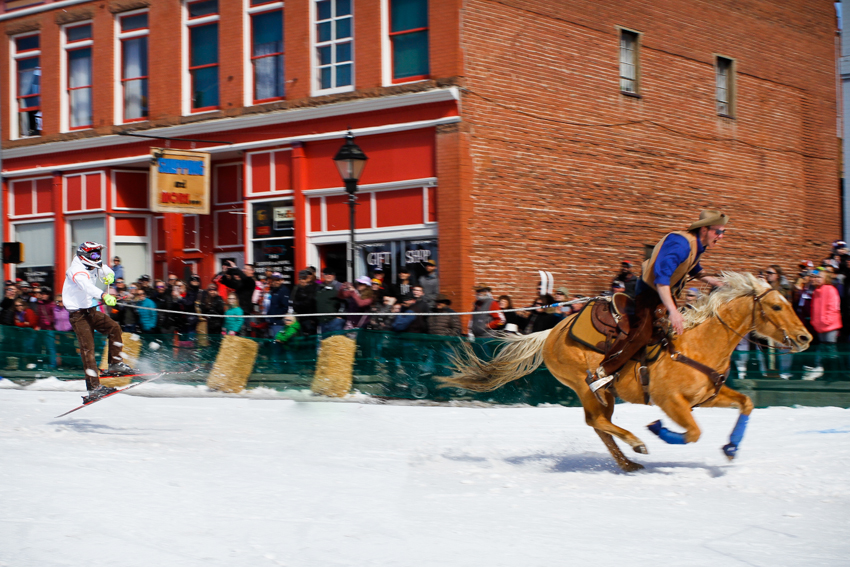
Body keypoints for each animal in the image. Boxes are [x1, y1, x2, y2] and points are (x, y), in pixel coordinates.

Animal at [440, 272, 812, 472]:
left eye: (789, 302)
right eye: (776, 306)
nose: (806, 337)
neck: (700, 343)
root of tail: (553, 330)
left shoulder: (708, 396)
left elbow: (746, 403)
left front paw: (731, 448)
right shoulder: (671, 401)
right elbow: (692, 432)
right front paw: (658, 430)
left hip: (605, 393)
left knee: (599, 425)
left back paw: (628, 462)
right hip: (586, 385)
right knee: (596, 420)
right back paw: (637, 445)